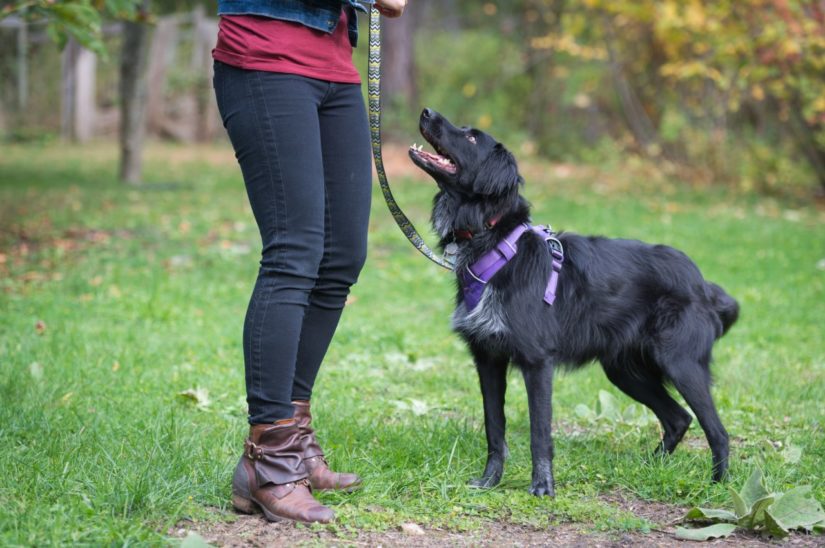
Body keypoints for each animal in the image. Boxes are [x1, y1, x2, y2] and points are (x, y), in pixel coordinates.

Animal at [408, 108, 736, 496]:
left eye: (472, 137)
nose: (427, 112)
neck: (497, 243)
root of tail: (702, 284)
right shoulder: (487, 358)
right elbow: (494, 428)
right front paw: (490, 480)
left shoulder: (537, 361)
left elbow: (539, 431)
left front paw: (542, 487)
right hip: (624, 370)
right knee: (678, 418)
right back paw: (652, 468)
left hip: (681, 363)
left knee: (717, 431)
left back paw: (718, 488)